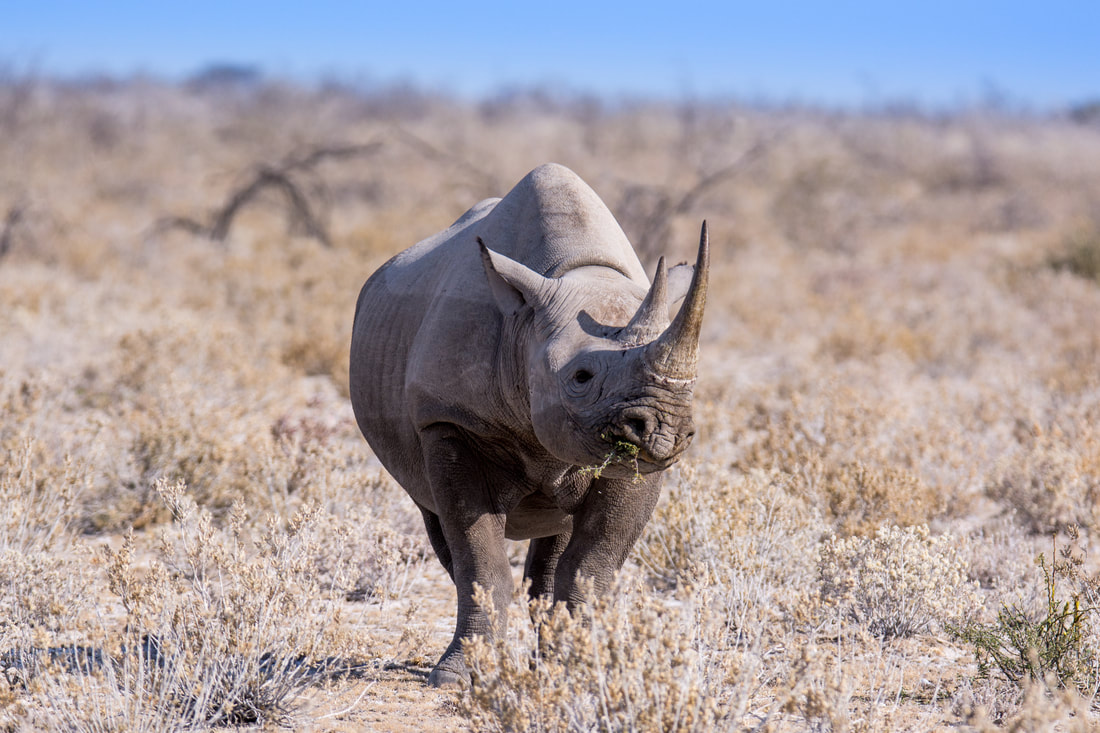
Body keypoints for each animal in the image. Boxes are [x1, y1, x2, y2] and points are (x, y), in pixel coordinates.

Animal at [349, 163, 708, 687]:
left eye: (695, 381)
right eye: (580, 377)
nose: (664, 430)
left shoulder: (637, 465)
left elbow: (592, 566)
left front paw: (578, 669)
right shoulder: (448, 420)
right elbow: (480, 560)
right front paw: (462, 676)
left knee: (553, 544)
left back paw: (548, 660)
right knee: (439, 527)